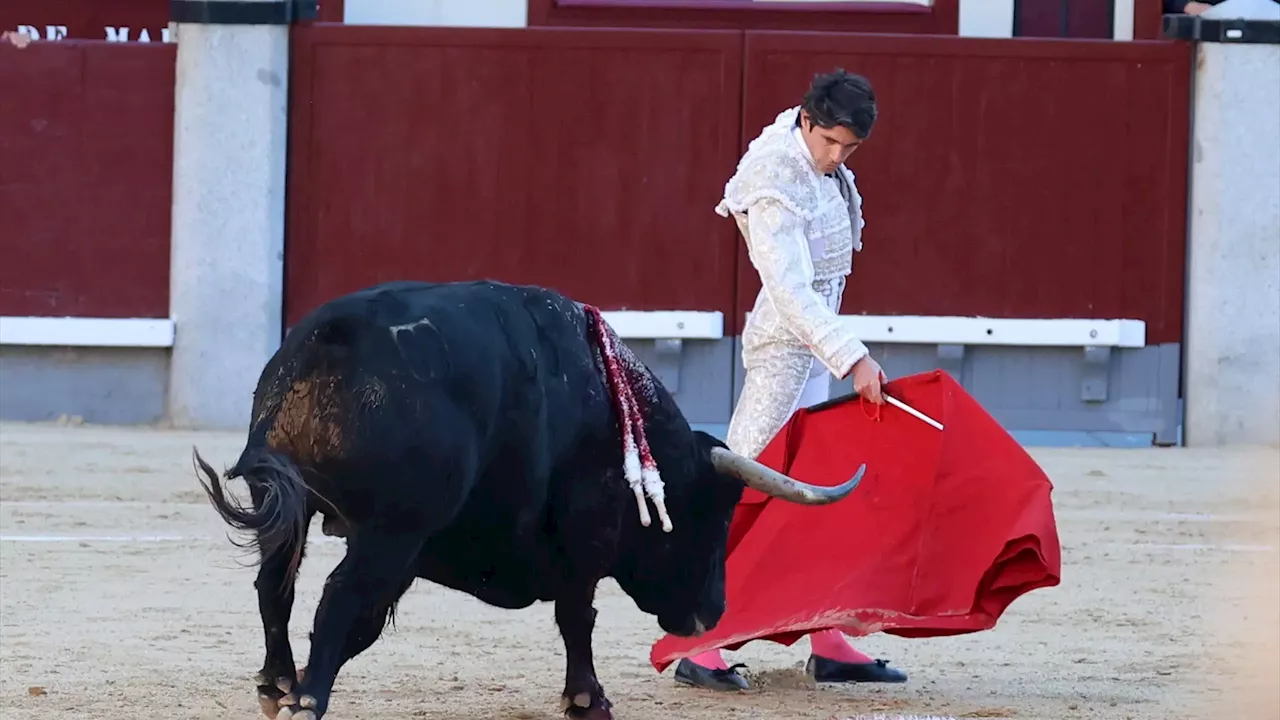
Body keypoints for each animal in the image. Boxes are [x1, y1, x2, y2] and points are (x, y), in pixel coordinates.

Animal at [194, 279, 865, 717]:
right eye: (714, 516)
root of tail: (322, 344)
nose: (713, 613)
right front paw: (588, 699)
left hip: (290, 509)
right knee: (336, 600)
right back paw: (308, 700)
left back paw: (278, 685)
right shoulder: (586, 535)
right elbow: (578, 615)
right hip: (391, 532)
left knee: (274, 589)